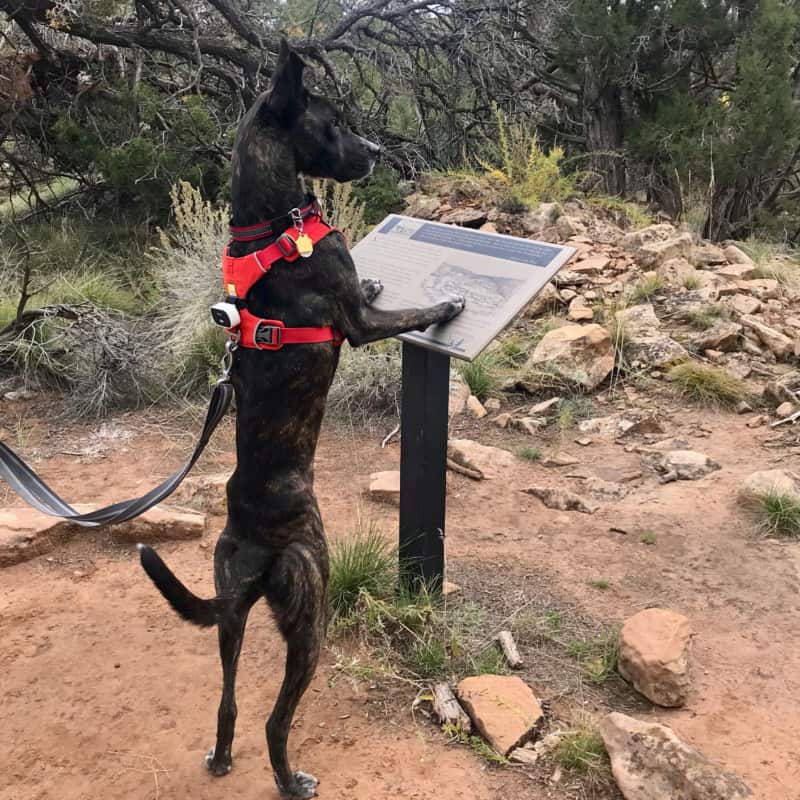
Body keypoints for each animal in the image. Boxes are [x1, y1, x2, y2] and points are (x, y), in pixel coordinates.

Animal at [136, 40, 462, 796]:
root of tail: (258, 547)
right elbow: (405, 312)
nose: (376, 150)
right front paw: (446, 304)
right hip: (312, 610)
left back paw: (222, 756)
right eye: (332, 122)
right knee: (273, 720)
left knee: (227, 702)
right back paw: (291, 779)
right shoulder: (361, 324)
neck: (270, 223)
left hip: (228, 613)